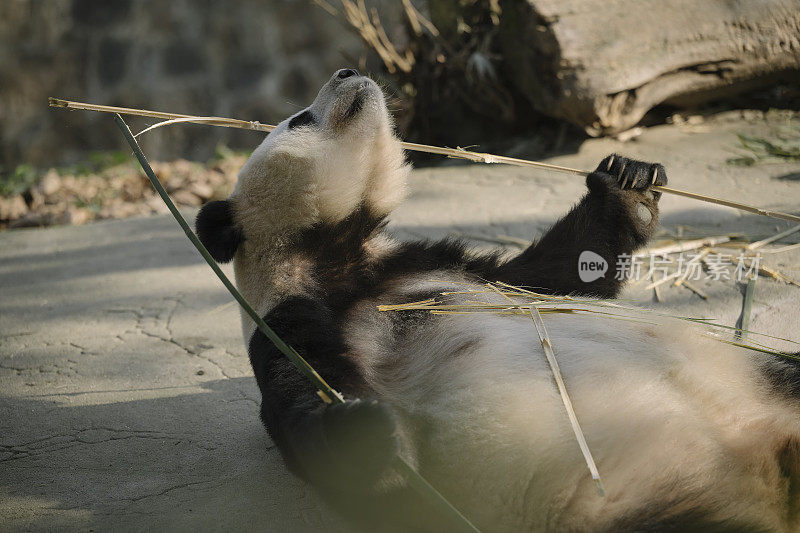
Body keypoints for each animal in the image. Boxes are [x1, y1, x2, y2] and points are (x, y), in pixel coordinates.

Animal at [197, 68, 800, 528]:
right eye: (301, 118)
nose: (347, 71)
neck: (342, 254)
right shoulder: (293, 311)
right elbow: (299, 393)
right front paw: (363, 432)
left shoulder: (446, 262)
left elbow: (561, 276)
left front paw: (628, 185)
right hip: (639, 499)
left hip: (752, 377)